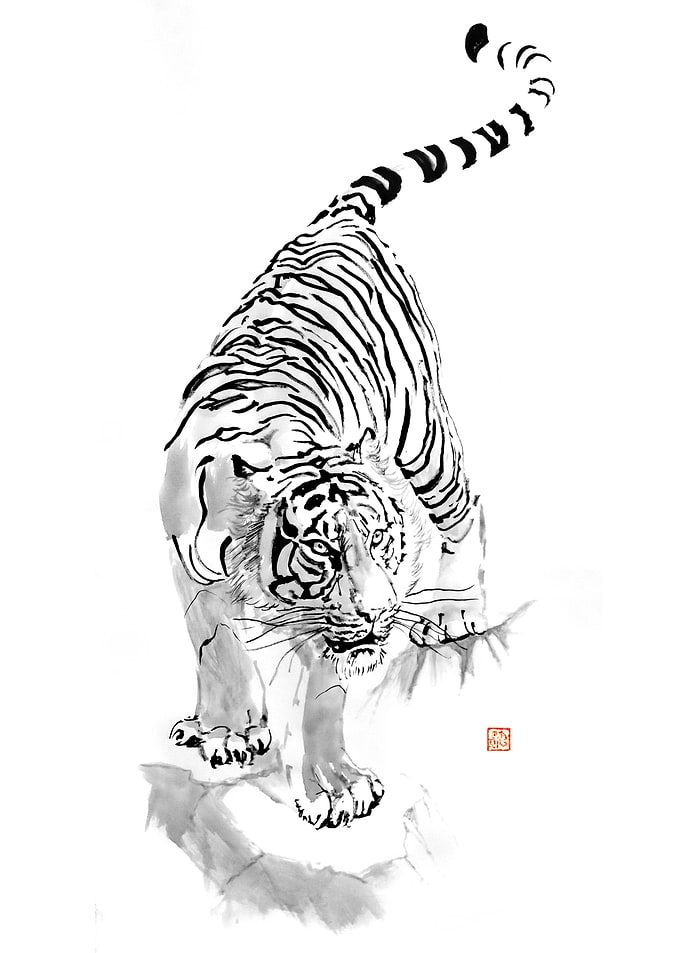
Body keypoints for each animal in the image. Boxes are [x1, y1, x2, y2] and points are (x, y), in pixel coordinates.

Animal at [160, 23, 555, 829]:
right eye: (320, 551)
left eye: (383, 543)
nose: (380, 615)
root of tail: (338, 216)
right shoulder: (183, 558)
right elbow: (214, 642)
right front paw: (227, 731)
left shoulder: (335, 630)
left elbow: (325, 687)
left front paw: (337, 785)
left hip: (425, 437)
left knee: (467, 506)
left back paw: (456, 609)